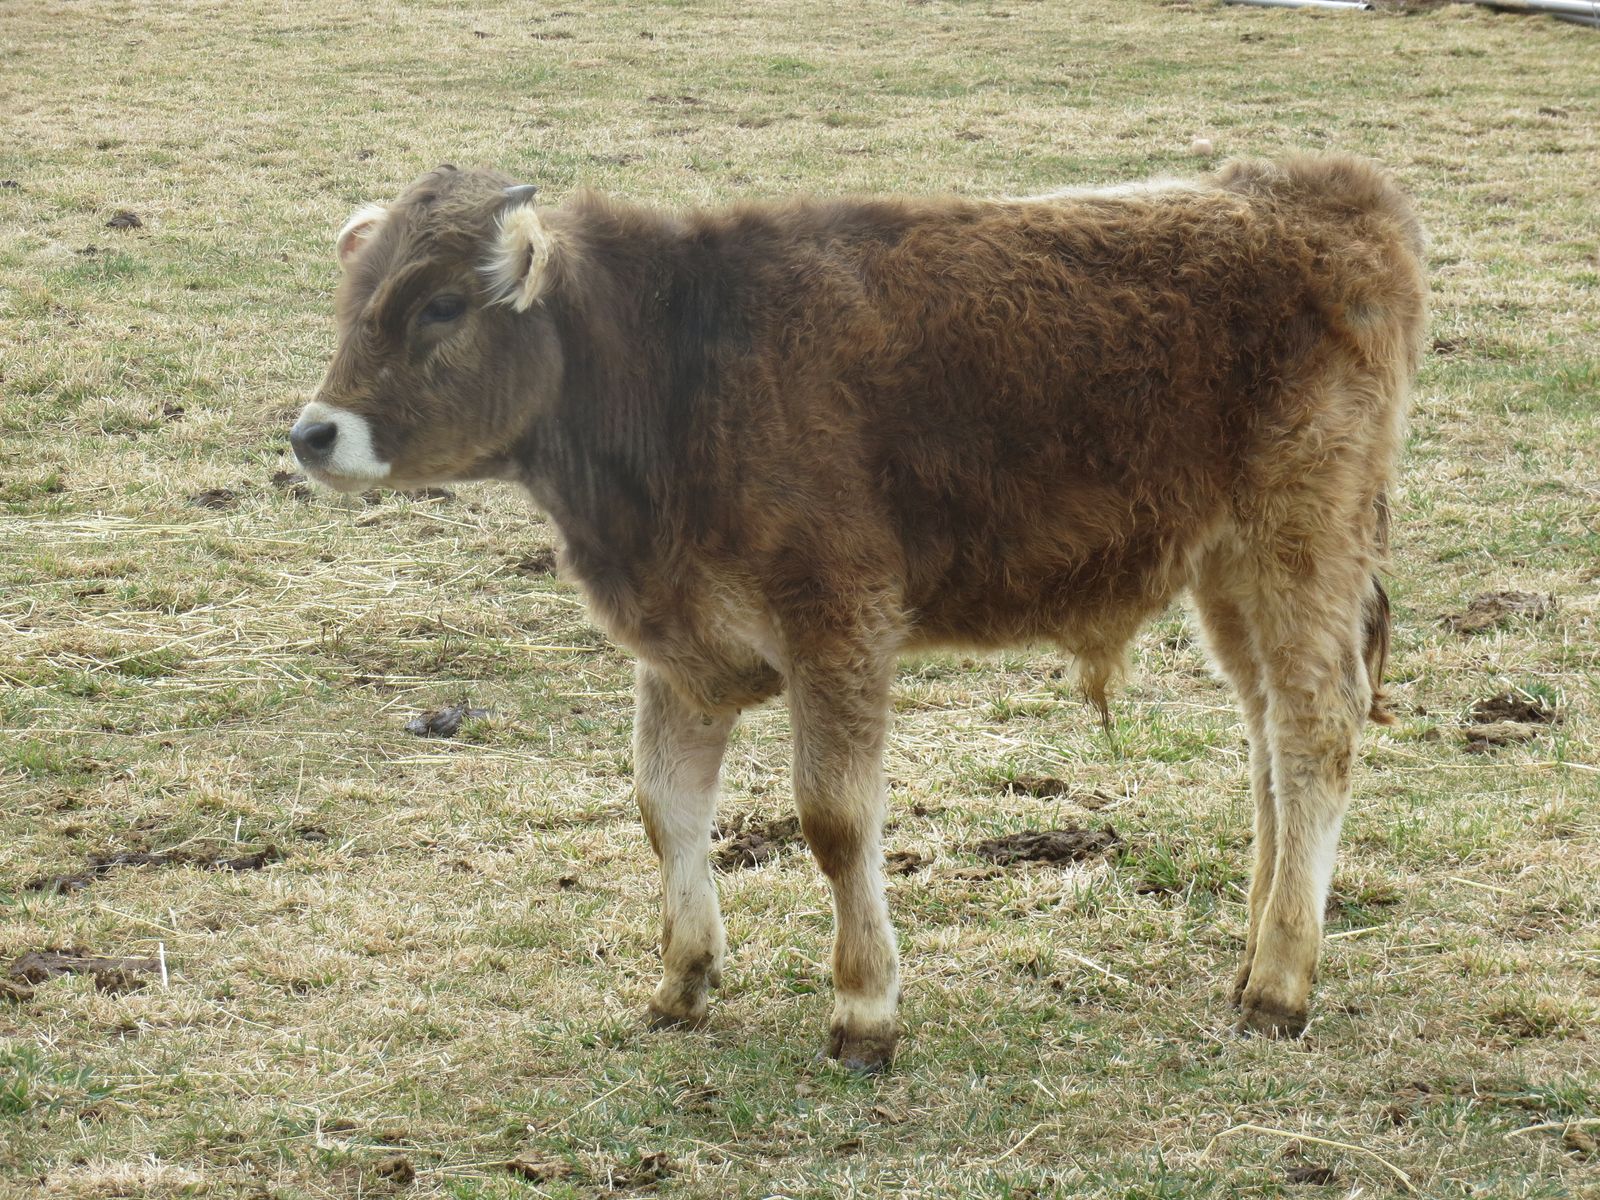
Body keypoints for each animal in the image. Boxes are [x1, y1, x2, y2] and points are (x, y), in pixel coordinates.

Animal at [291, 156, 1426, 1072]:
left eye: (441, 306)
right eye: (355, 299)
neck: (677, 369)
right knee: (1268, 730)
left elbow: (834, 819)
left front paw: (864, 1008)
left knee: (1316, 726)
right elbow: (666, 807)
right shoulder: (681, 642)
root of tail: (1324, 193)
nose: (313, 433)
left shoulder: (837, 621)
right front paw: (682, 980)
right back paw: (1257, 951)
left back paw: (1279, 985)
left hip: (1302, 539)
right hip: (1229, 567)